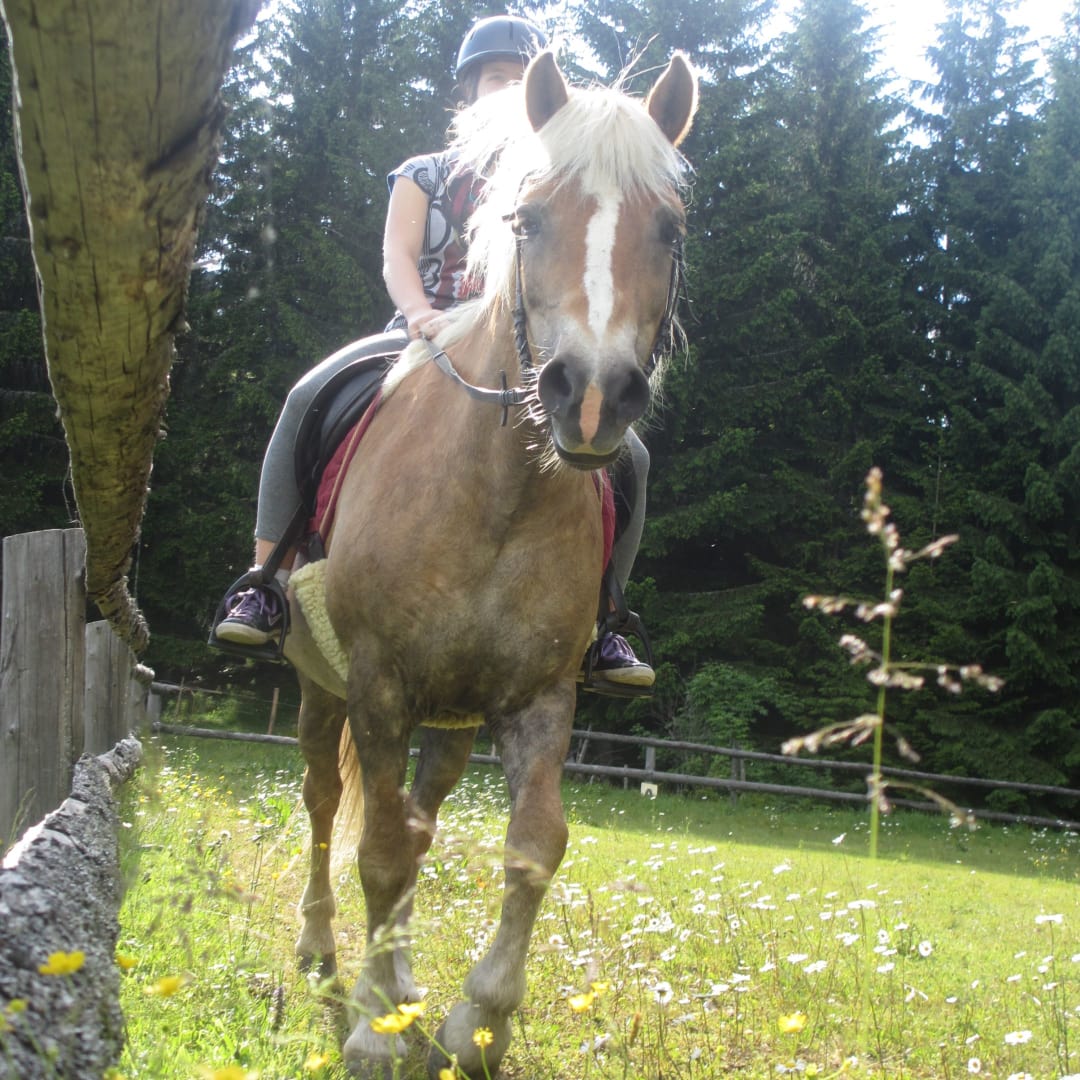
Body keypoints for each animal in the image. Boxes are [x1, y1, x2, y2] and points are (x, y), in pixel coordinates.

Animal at [282, 50, 697, 1079]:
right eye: (528, 217)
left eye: (668, 228)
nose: (591, 398)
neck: (496, 491)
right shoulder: (378, 683)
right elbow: (377, 850)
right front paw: (373, 1027)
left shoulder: (538, 696)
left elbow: (532, 845)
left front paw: (477, 1018)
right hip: (318, 687)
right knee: (325, 805)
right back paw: (322, 950)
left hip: (453, 720)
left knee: (418, 818)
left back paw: (400, 975)